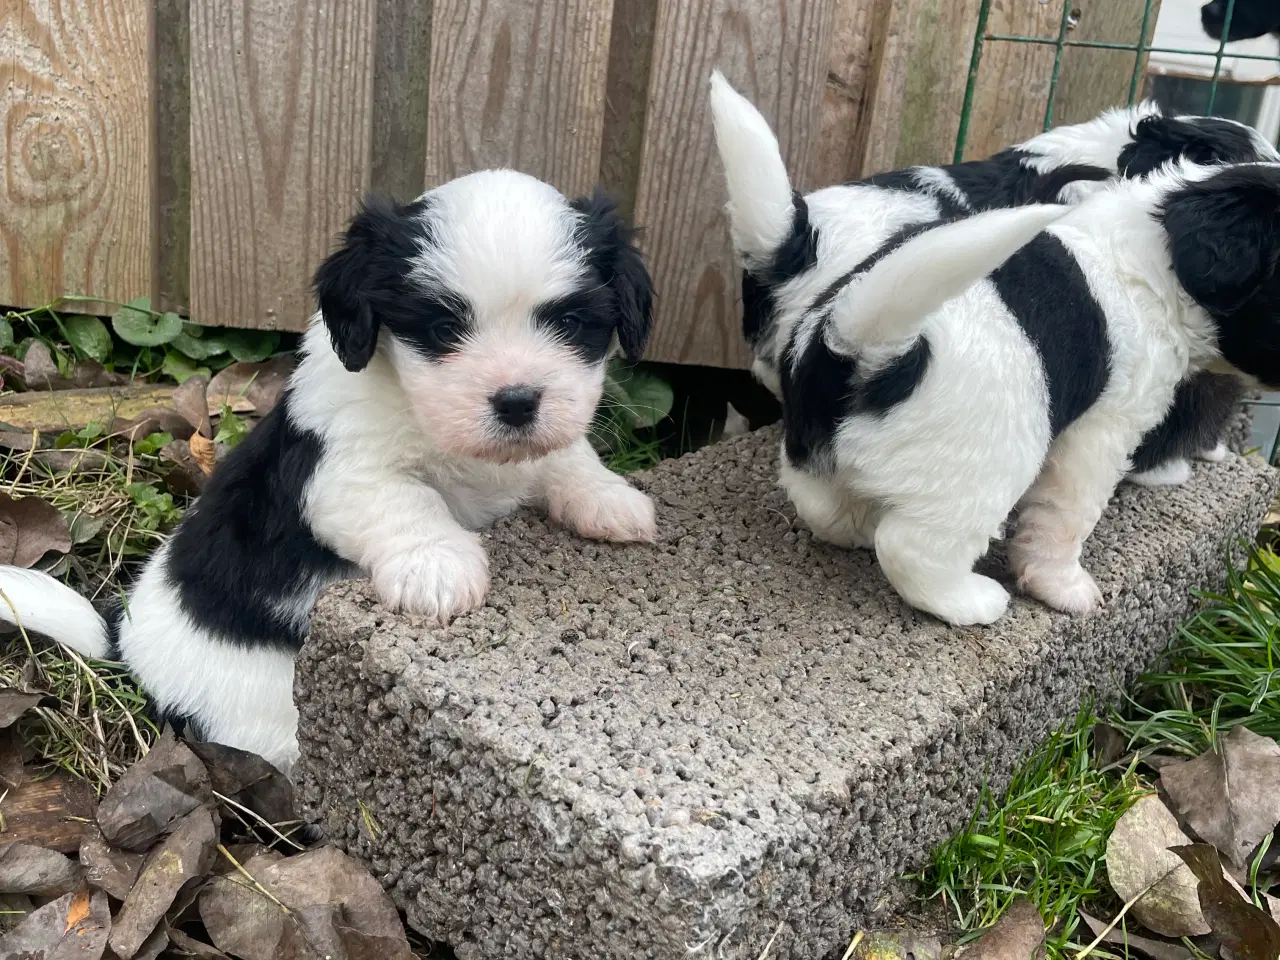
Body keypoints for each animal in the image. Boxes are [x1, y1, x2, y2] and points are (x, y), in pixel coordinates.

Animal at [0, 171, 660, 773]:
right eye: (444, 329)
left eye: (570, 324)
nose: (518, 401)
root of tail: (124, 636)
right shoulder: (340, 473)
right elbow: (406, 500)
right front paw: (437, 568)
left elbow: (566, 452)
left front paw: (607, 498)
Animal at [711, 77, 1280, 632]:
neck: (1152, 243)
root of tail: (868, 348)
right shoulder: (1101, 431)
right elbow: (1066, 514)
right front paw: (1065, 588)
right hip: (991, 461)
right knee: (914, 548)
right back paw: (971, 600)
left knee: (821, 502)